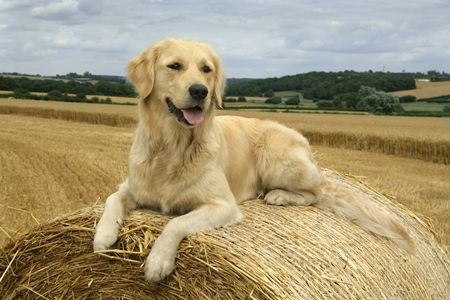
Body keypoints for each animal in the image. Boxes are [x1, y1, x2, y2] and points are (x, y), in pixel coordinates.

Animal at [93, 38, 414, 284]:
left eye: (206, 69)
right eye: (174, 66)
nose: (200, 91)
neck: (173, 147)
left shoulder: (222, 205)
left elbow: (176, 223)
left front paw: (158, 261)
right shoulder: (132, 186)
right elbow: (111, 198)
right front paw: (103, 235)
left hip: (275, 155)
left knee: (316, 192)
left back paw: (279, 196)